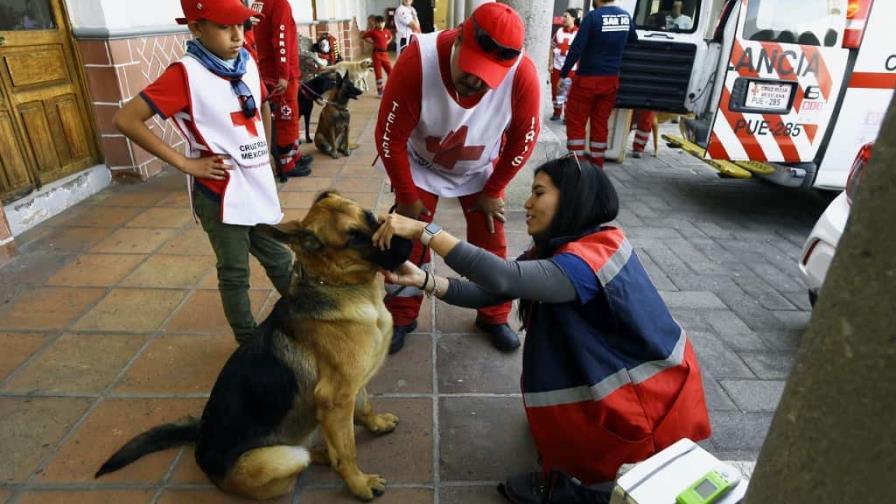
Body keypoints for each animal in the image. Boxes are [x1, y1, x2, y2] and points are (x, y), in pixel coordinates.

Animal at [95, 192, 412, 500]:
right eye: (353, 238)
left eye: (370, 217)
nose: (409, 242)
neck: (335, 285)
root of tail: (200, 446)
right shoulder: (335, 397)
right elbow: (347, 450)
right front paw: (358, 484)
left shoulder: (352, 386)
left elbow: (365, 405)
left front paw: (375, 423)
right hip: (282, 458)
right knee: (306, 457)